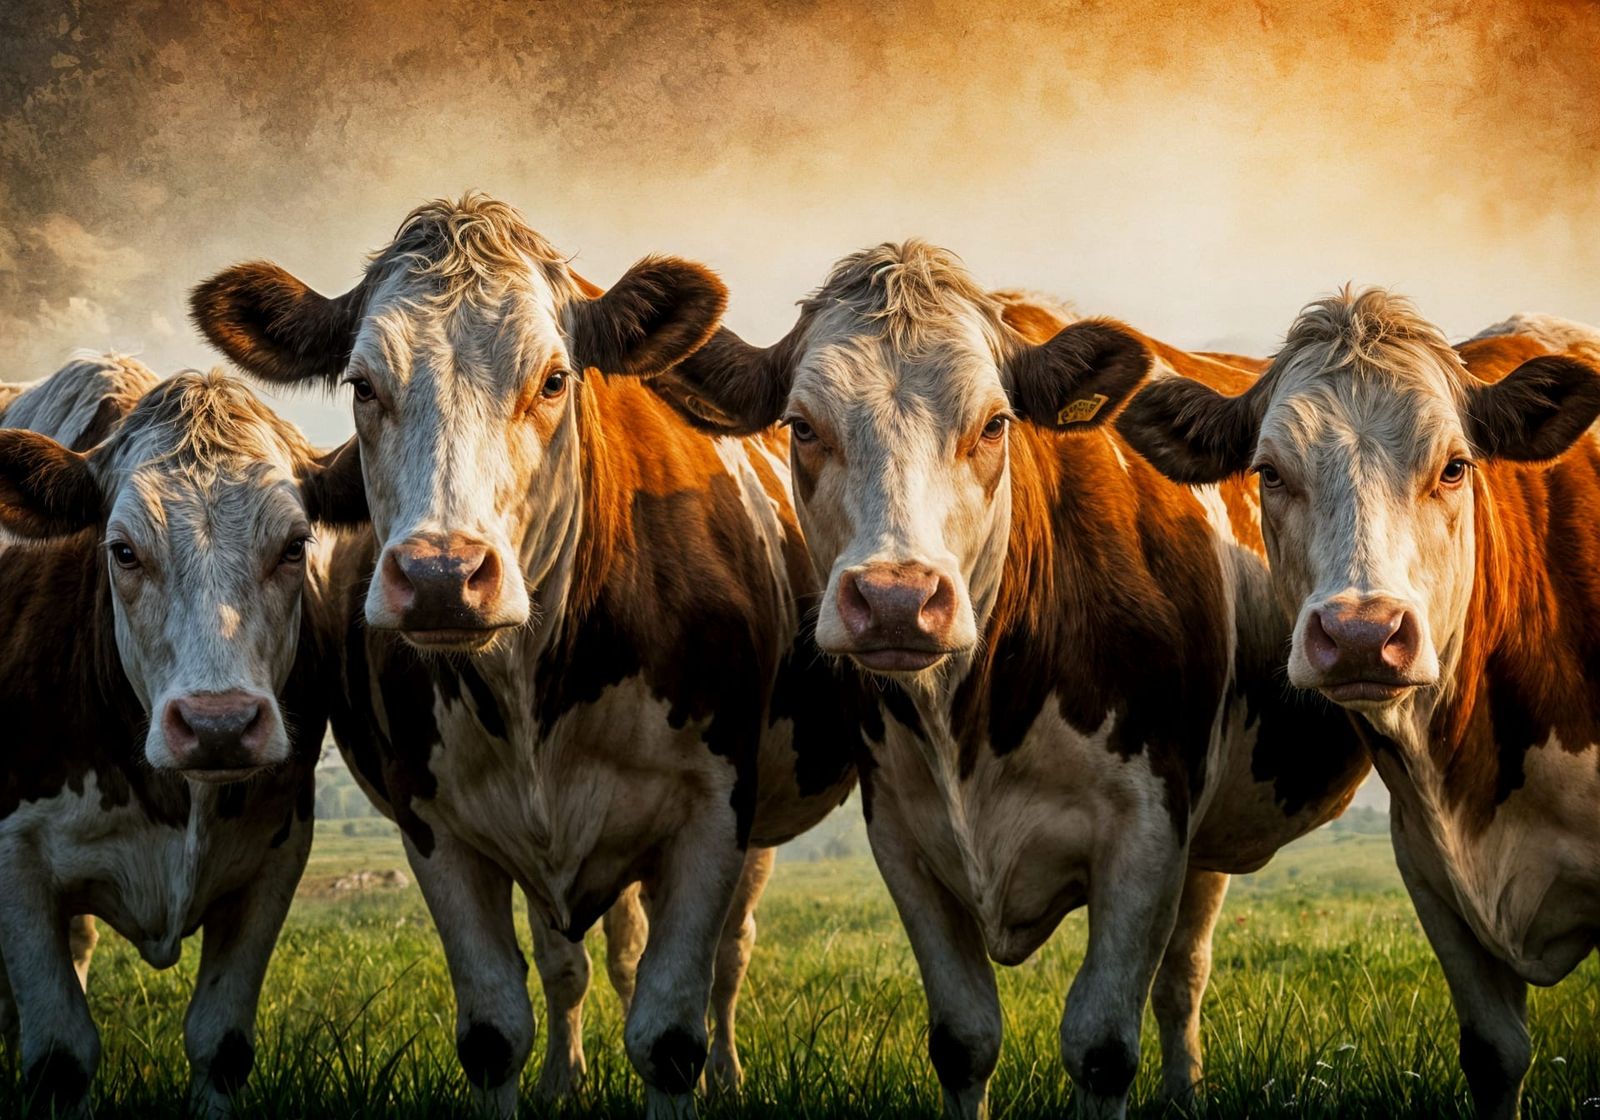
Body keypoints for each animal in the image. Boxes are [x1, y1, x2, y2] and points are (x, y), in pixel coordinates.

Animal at [0, 370, 363, 1117]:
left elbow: (220, 1044)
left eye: (295, 545)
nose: (217, 723)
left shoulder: (275, 857)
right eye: (123, 550)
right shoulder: (13, 858)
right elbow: (59, 1058)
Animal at [188, 193, 861, 1118]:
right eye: (362, 385)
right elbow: (497, 1029)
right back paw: (564, 1078)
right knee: (574, 959)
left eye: (553, 379)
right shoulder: (433, 823)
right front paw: (545, 1074)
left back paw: (728, 1071)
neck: (533, 681)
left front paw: (700, 1066)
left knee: (729, 954)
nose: (441, 577)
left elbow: (670, 1035)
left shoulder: (717, 808)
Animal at [636, 240, 1371, 1119]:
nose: (896, 598)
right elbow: (964, 1039)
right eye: (802, 426)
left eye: (994, 423)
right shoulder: (904, 836)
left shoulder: (1149, 832)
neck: (976, 715)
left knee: (1181, 972)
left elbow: (1101, 1047)